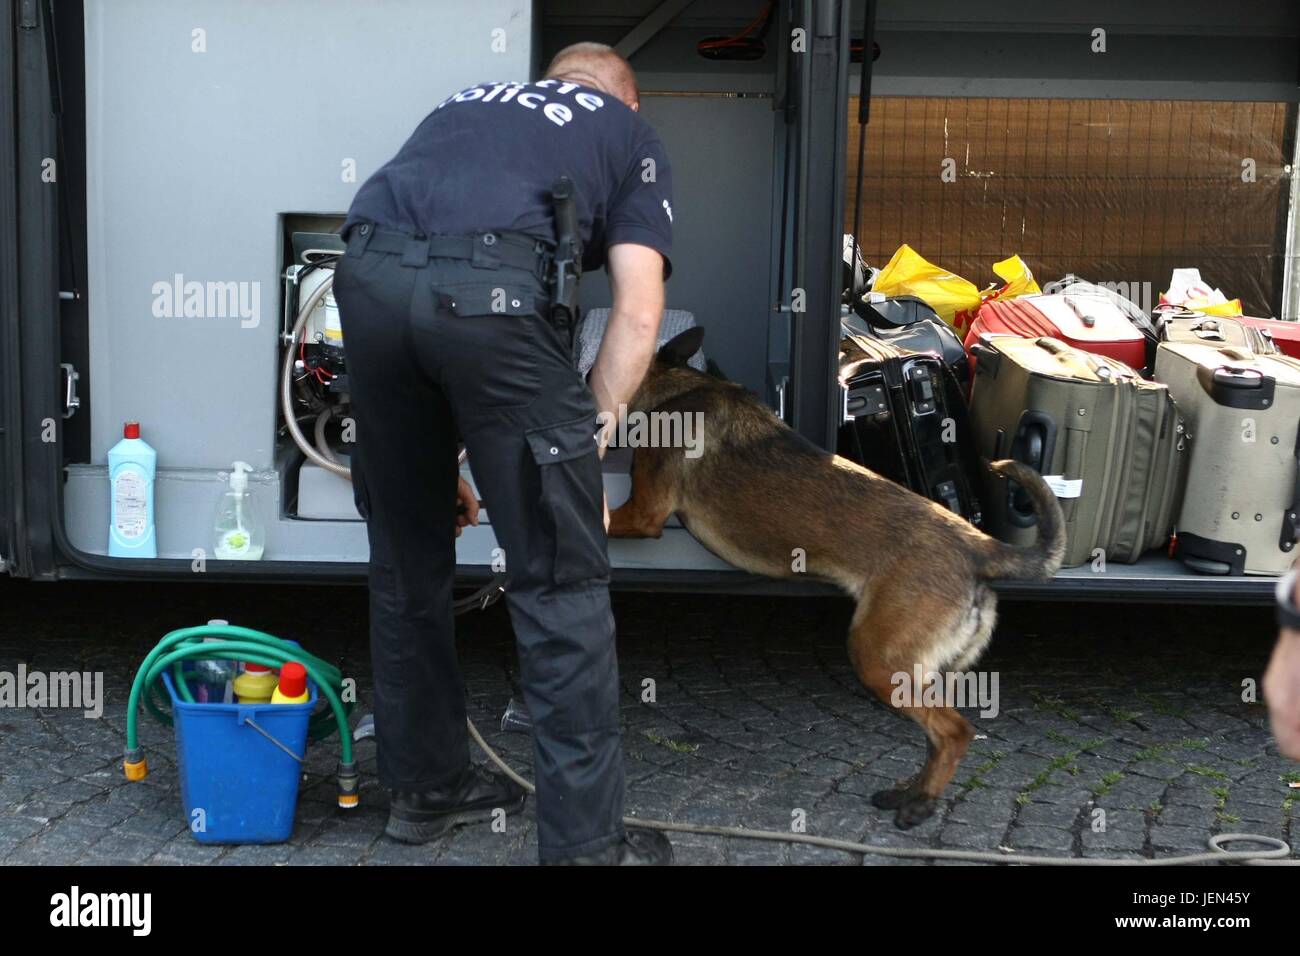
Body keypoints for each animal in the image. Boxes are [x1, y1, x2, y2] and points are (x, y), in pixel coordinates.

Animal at [608, 329, 1066, 832]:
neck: (674, 385)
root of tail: (978, 546)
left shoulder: (640, 515)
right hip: (920, 669)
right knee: (936, 733)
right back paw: (909, 791)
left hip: (879, 660)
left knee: (954, 732)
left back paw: (920, 803)